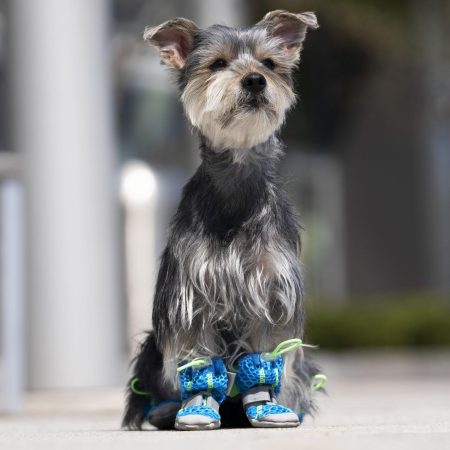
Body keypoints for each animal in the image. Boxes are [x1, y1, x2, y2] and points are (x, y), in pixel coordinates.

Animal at [123, 11, 320, 432]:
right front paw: (197, 406)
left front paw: (266, 405)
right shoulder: (192, 295)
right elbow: (199, 358)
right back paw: (165, 409)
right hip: (151, 345)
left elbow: (263, 357)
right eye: (217, 64)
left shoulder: (269, 293)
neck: (236, 176)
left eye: (269, 63)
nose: (255, 79)